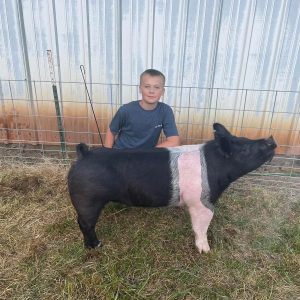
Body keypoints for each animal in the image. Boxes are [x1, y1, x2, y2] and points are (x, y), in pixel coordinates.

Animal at [68, 122, 276, 253]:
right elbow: (201, 226)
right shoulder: (201, 202)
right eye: (245, 149)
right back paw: (96, 246)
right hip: (87, 199)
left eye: (246, 138)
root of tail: (84, 155)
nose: (271, 139)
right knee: (84, 223)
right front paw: (206, 251)